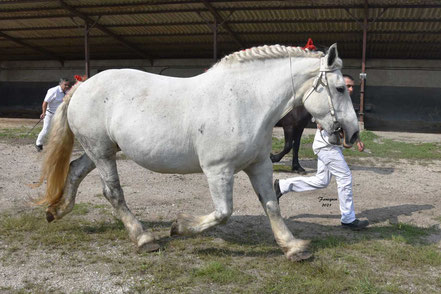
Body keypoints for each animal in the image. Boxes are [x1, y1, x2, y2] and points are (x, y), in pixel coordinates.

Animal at [34, 43, 358, 260]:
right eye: (340, 88)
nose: (353, 133)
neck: (246, 101)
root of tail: (82, 85)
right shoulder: (218, 170)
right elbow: (223, 213)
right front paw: (179, 227)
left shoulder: (259, 165)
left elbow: (272, 205)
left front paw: (292, 247)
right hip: (101, 152)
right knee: (113, 193)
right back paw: (144, 239)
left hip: (100, 151)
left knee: (74, 171)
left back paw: (56, 211)